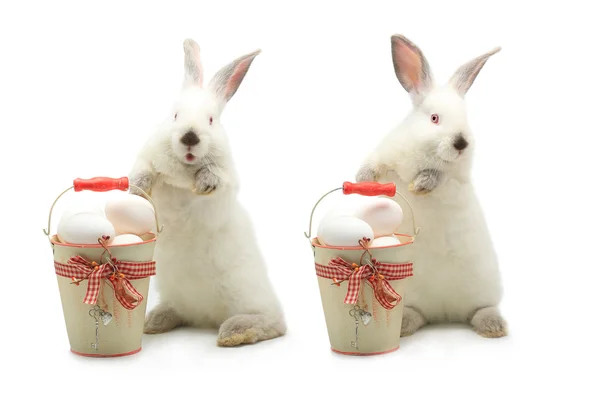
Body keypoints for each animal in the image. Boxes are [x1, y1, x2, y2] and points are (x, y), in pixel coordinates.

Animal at [128, 39, 286, 346]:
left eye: (211, 120)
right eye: (175, 115)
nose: (190, 136)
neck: (182, 175)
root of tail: (206, 318)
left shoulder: (223, 189)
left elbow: (215, 182)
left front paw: (203, 183)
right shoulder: (146, 158)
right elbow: (144, 171)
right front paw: (137, 188)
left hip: (247, 295)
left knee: (275, 323)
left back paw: (235, 331)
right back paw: (155, 320)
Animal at [356, 36, 506, 340]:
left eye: (466, 118)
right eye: (435, 118)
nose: (461, 143)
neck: (425, 153)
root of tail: (445, 313)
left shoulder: (454, 179)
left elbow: (438, 178)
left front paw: (421, 185)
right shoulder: (385, 156)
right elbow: (374, 167)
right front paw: (360, 177)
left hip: (484, 288)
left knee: (481, 309)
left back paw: (493, 326)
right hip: (410, 294)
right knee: (417, 313)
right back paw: (404, 325)